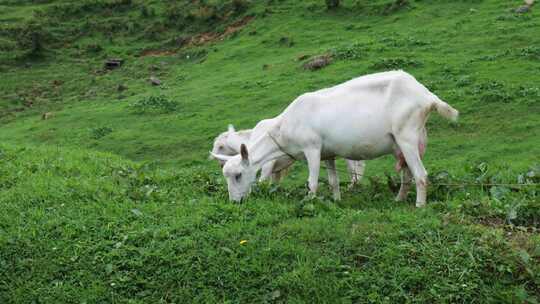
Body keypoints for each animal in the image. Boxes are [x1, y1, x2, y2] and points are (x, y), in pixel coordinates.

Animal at [209, 70, 458, 207]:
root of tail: (426, 95)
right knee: (407, 174)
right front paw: (337, 201)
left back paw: (419, 205)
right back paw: (399, 199)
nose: (235, 202)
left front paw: (310, 202)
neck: (282, 127)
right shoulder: (328, 153)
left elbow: (311, 182)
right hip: (401, 143)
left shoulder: (312, 149)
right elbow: (333, 181)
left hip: (407, 136)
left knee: (421, 175)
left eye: (238, 175)